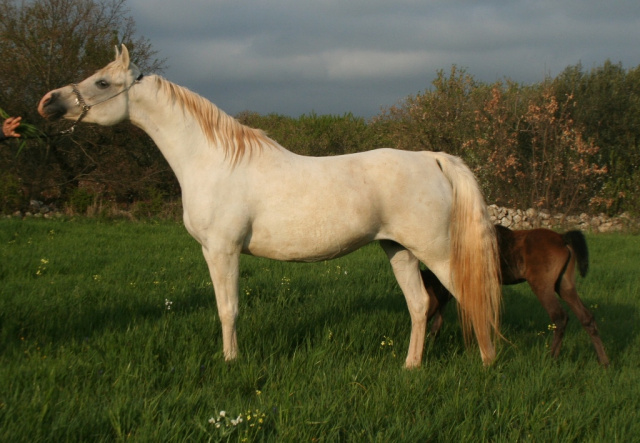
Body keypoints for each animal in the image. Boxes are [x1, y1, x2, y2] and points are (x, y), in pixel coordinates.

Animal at [38, 45, 500, 368]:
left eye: (101, 83)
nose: (48, 103)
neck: (212, 160)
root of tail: (431, 157)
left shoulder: (223, 250)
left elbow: (228, 310)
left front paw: (230, 362)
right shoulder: (213, 251)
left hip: (437, 252)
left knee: (471, 297)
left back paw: (487, 364)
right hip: (398, 250)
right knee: (420, 305)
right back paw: (410, 366)